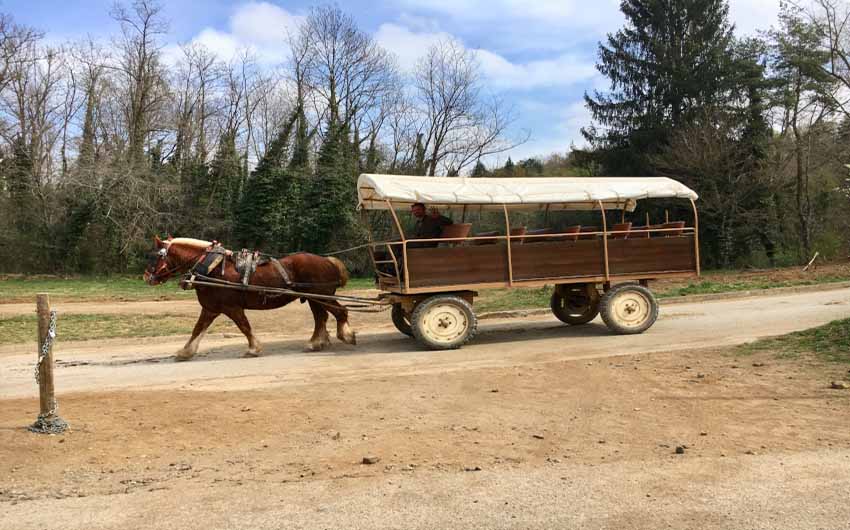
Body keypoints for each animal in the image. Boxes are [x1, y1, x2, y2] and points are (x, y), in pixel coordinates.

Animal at [143, 235, 354, 358]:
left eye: (158, 255)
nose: (148, 276)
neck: (211, 268)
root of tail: (328, 260)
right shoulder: (211, 308)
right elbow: (197, 329)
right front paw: (185, 351)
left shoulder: (232, 308)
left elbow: (244, 326)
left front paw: (253, 348)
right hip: (313, 298)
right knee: (321, 317)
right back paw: (316, 343)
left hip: (321, 295)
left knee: (339, 311)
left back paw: (346, 335)